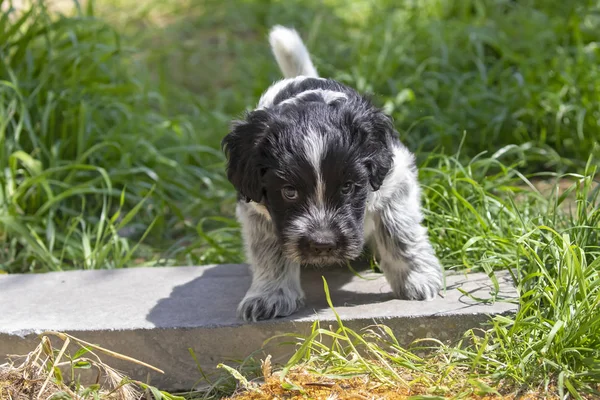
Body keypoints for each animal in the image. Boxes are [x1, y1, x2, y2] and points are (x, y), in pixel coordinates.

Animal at [223, 25, 442, 322]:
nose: (323, 244)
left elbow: (400, 231)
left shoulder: (394, 179)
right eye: (289, 192)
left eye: (348, 187)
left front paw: (416, 278)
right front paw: (269, 295)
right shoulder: (254, 206)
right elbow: (268, 251)